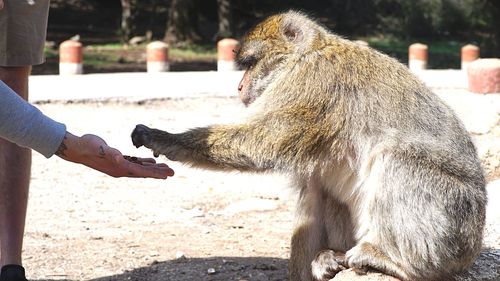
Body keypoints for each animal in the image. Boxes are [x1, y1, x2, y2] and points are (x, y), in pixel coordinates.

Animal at [131, 9, 486, 280]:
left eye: (250, 63)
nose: (239, 86)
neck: (308, 52)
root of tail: (474, 246)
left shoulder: (310, 83)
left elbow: (263, 139)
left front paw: (164, 138)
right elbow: (311, 194)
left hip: (454, 227)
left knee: (396, 157)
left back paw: (400, 262)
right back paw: (330, 257)